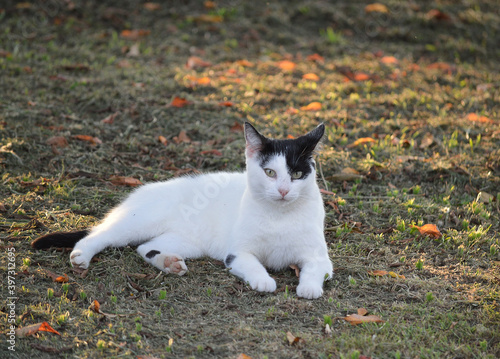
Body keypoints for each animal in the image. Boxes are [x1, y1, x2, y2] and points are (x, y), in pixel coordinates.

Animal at [33, 122, 334, 300]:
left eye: (297, 174)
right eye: (270, 172)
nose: (283, 190)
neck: (279, 216)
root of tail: (141, 191)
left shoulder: (320, 258)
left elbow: (316, 270)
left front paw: (309, 288)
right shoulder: (237, 254)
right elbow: (254, 265)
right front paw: (264, 281)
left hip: (188, 242)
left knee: (145, 247)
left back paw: (169, 262)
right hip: (137, 222)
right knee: (100, 235)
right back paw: (82, 256)